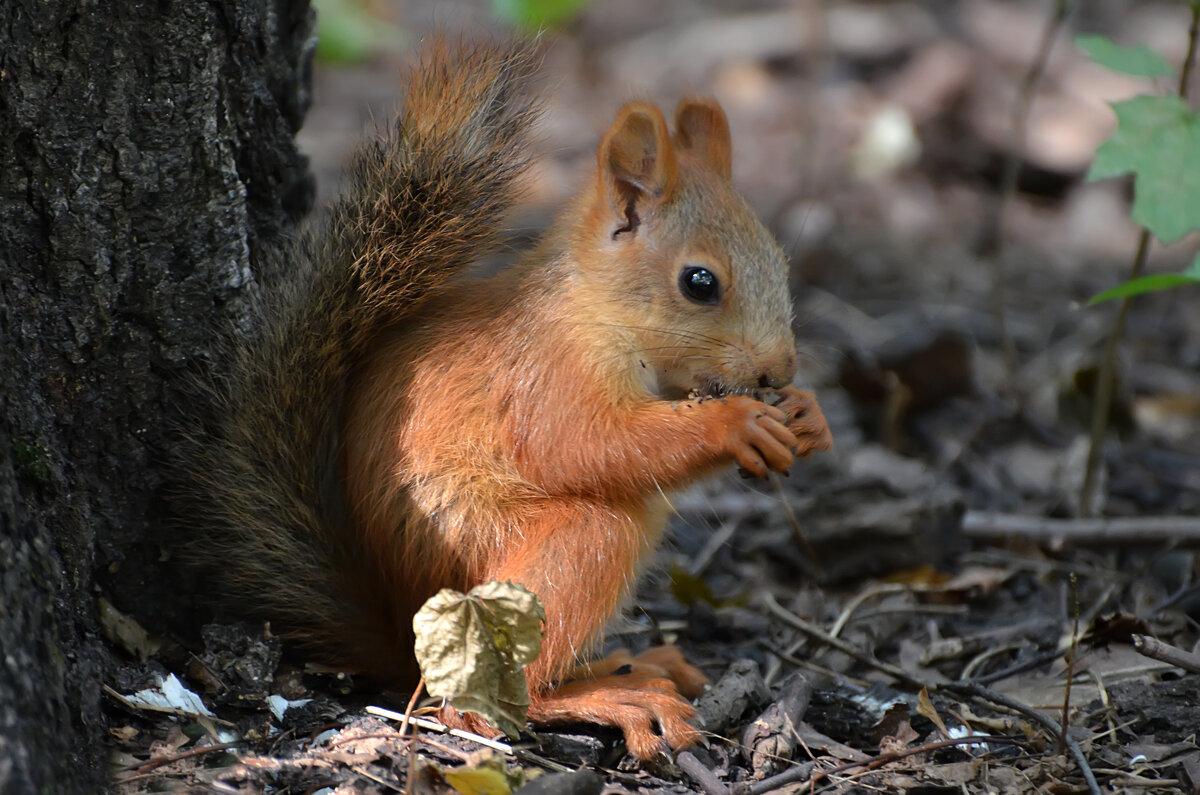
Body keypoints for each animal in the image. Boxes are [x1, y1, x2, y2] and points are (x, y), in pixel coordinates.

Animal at [187, 40, 835, 763]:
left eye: (780, 262)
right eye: (700, 282)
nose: (780, 368)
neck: (593, 305)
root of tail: (405, 636)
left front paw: (808, 415)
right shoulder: (549, 371)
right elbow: (583, 445)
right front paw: (735, 422)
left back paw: (630, 664)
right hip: (544, 548)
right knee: (482, 703)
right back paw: (610, 697)